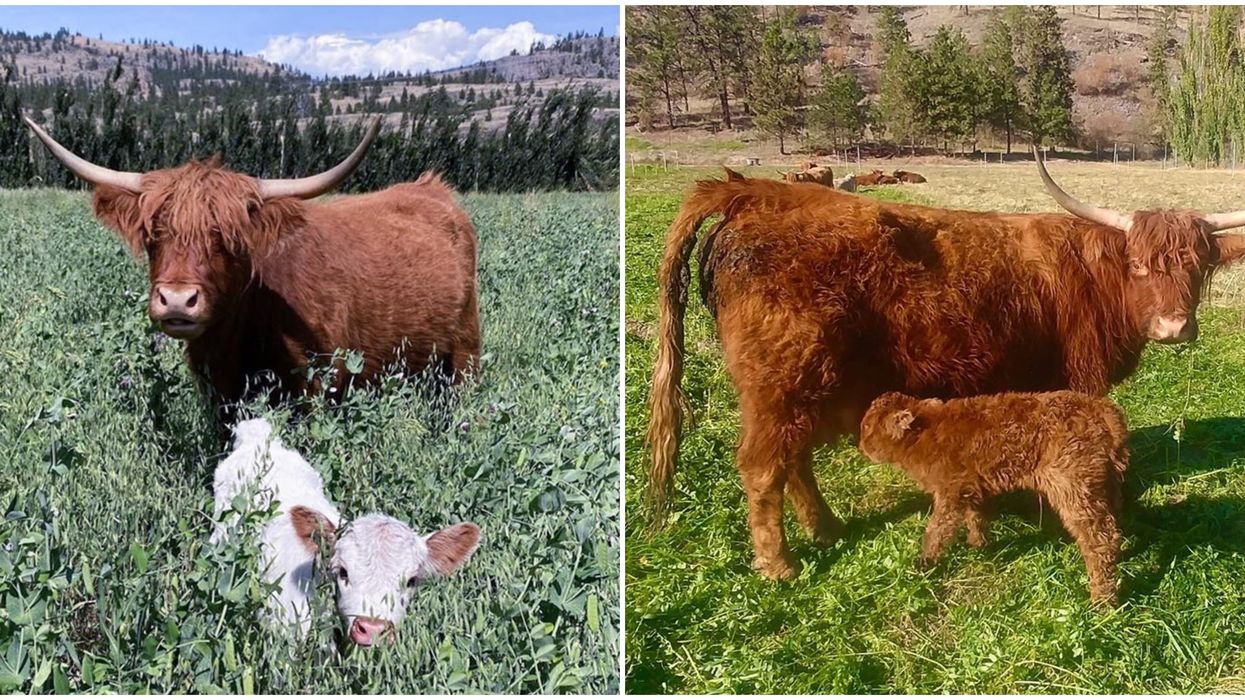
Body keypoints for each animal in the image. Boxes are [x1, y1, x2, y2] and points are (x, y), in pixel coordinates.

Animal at [24, 116, 480, 406]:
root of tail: (431, 188)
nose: (177, 301)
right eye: (154, 234)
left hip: (465, 351)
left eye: (228, 240)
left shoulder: (317, 385)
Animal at [645, 150, 1245, 580]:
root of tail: (750, 192)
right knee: (763, 467)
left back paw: (827, 530)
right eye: (1140, 265)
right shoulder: (1074, 379)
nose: (1173, 327)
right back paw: (780, 567)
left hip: (804, 388)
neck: (1093, 278)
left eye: (1198, 266)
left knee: (795, 460)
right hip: (780, 381)